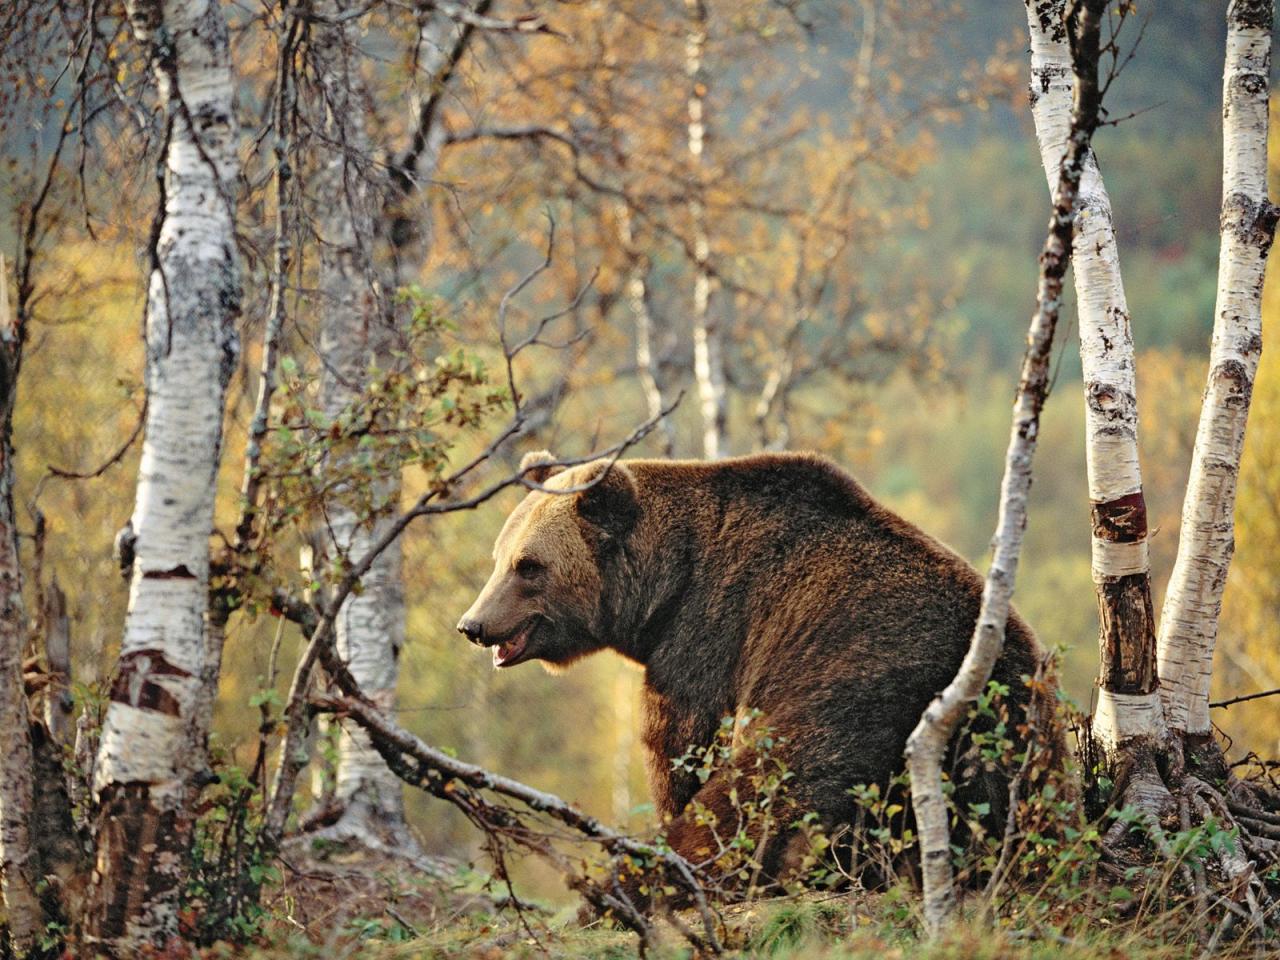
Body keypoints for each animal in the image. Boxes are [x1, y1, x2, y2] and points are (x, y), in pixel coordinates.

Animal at [455, 450, 1054, 896]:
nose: (473, 624)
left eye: (529, 566)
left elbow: (683, 752)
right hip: (1011, 742)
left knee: (756, 801)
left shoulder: (709, 639)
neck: (666, 586)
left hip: (852, 698)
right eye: (499, 556)